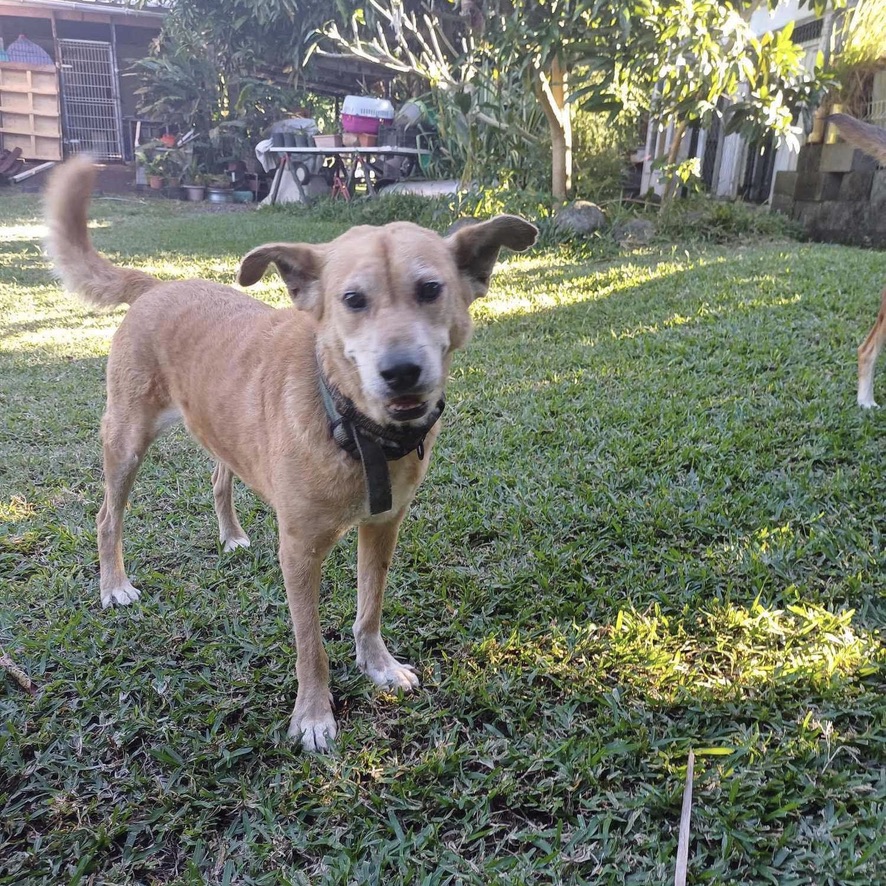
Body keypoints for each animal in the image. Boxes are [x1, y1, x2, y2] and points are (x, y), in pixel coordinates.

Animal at [46, 158, 540, 748]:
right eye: (352, 300)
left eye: (430, 289)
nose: (401, 371)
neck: (352, 425)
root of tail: (157, 285)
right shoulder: (300, 551)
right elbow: (310, 644)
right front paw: (313, 714)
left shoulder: (383, 526)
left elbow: (369, 608)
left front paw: (377, 665)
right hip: (126, 439)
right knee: (107, 516)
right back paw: (114, 585)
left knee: (219, 479)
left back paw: (231, 535)